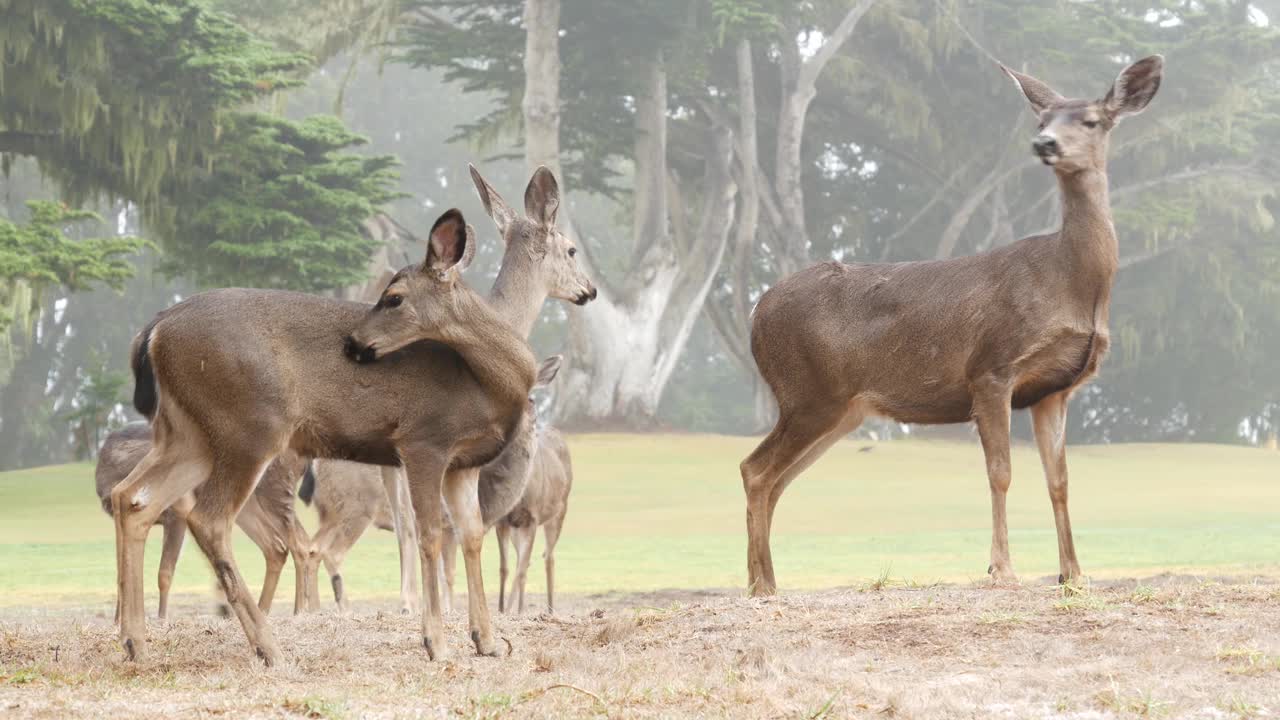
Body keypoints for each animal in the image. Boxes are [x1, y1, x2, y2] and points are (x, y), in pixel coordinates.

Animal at [95, 420, 314, 617]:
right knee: (276, 547)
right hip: (248, 504)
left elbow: (165, 573)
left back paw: (299, 611)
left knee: (299, 544)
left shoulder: (176, 516)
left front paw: (162, 618)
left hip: (276, 489)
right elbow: (122, 570)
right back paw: (263, 610)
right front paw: (118, 620)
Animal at [737, 54, 1167, 594]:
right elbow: (1000, 471)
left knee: (776, 478)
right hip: (808, 392)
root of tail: (756, 311)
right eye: (1042, 122)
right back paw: (762, 586)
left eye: (1090, 120)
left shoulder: (1054, 389)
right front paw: (1002, 568)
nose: (1045, 144)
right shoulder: (992, 367)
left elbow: (1060, 480)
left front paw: (1073, 574)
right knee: (755, 470)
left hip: (839, 409)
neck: (1073, 285)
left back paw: (762, 581)